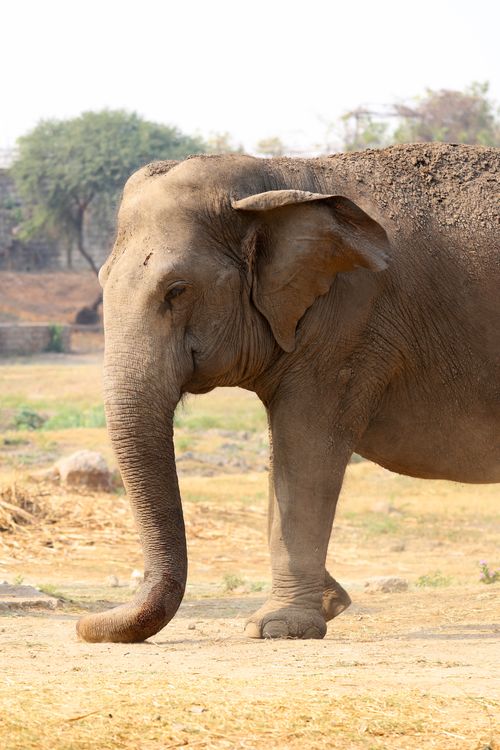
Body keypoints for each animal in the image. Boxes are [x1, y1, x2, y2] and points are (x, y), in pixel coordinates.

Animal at [76, 142, 500, 643]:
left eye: (176, 290)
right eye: (102, 280)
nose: (83, 624)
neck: (277, 181)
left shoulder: (349, 322)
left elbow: (305, 447)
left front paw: (277, 626)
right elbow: (283, 456)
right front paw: (330, 603)